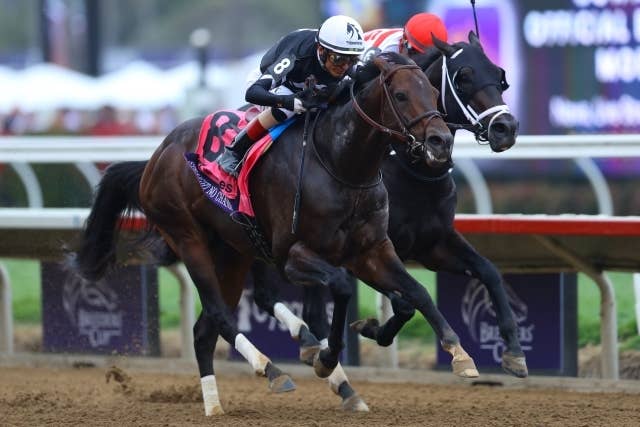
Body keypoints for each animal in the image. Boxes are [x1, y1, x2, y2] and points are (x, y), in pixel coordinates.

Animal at [69, 52, 478, 417]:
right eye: (401, 95)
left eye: (433, 91)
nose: (441, 141)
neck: (341, 164)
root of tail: (157, 155)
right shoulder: (295, 255)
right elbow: (341, 290)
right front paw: (325, 357)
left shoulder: (371, 250)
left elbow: (416, 293)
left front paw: (459, 354)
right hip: (187, 237)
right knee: (218, 314)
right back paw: (271, 370)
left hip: (233, 253)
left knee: (203, 330)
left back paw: (216, 404)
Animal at [251, 31, 528, 383]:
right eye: (463, 77)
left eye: (499, 76)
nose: (506, 127)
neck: (412, 172)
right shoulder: (365, 250)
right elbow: (402, 304)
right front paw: (370, 328)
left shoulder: (433, 243)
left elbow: (488, 271)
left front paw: (514, 352)